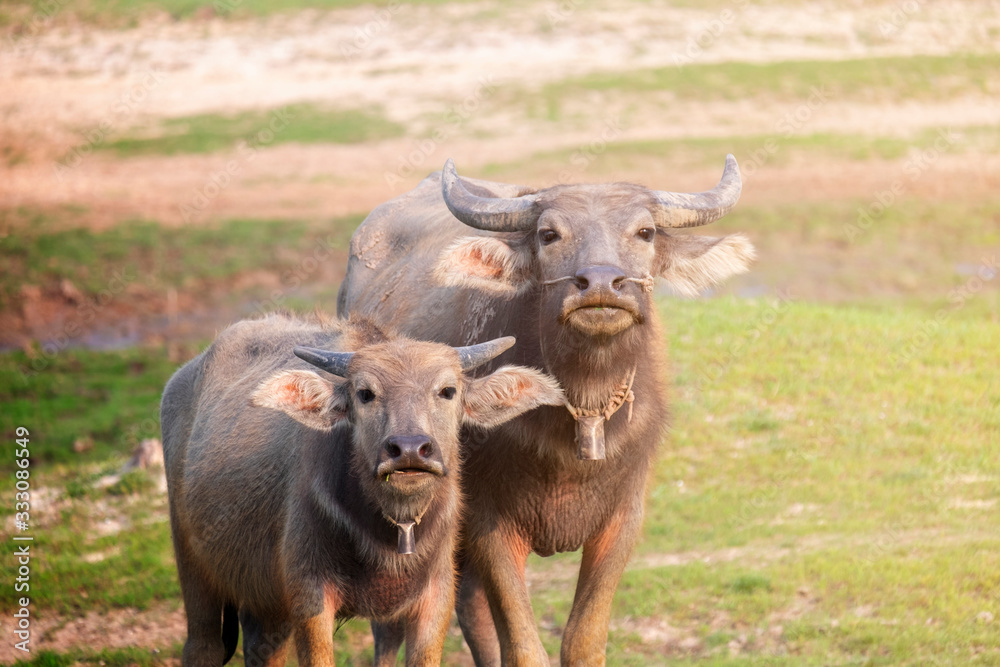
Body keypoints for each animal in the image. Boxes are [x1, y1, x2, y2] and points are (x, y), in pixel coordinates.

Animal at [160, 313, 564, 665]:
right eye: (365, 393)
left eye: (448, 390)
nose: (410, 449)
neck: (390, 532)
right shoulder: (310, 596)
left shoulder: (436, 597)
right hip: (191, 562)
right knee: (203, 646)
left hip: (265, 599)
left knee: (262, 648)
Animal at [337, 157, 753, 665]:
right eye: (549, 234)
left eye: (646, 232)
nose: (600, 284)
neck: (581, 412)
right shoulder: (489, 524)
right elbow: (523, 645)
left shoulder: (621, 520)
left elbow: (583, 640)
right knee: (397, 625)